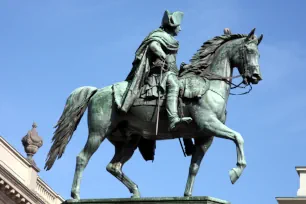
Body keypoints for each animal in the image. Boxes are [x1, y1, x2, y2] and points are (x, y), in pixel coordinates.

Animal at [44, 27, 262, 200]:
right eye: (248, 50)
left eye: (259, 54)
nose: (256, 76)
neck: (209, 85)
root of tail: (98, 91)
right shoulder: (209, 123)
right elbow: (238, 137)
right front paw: (236, 171)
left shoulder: (205, 137)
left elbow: (194, 167)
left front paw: (187, 194)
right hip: (98, 133)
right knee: (82, 158)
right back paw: (75, 195)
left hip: (129, 140)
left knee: (114, 166)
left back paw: (136, 192)